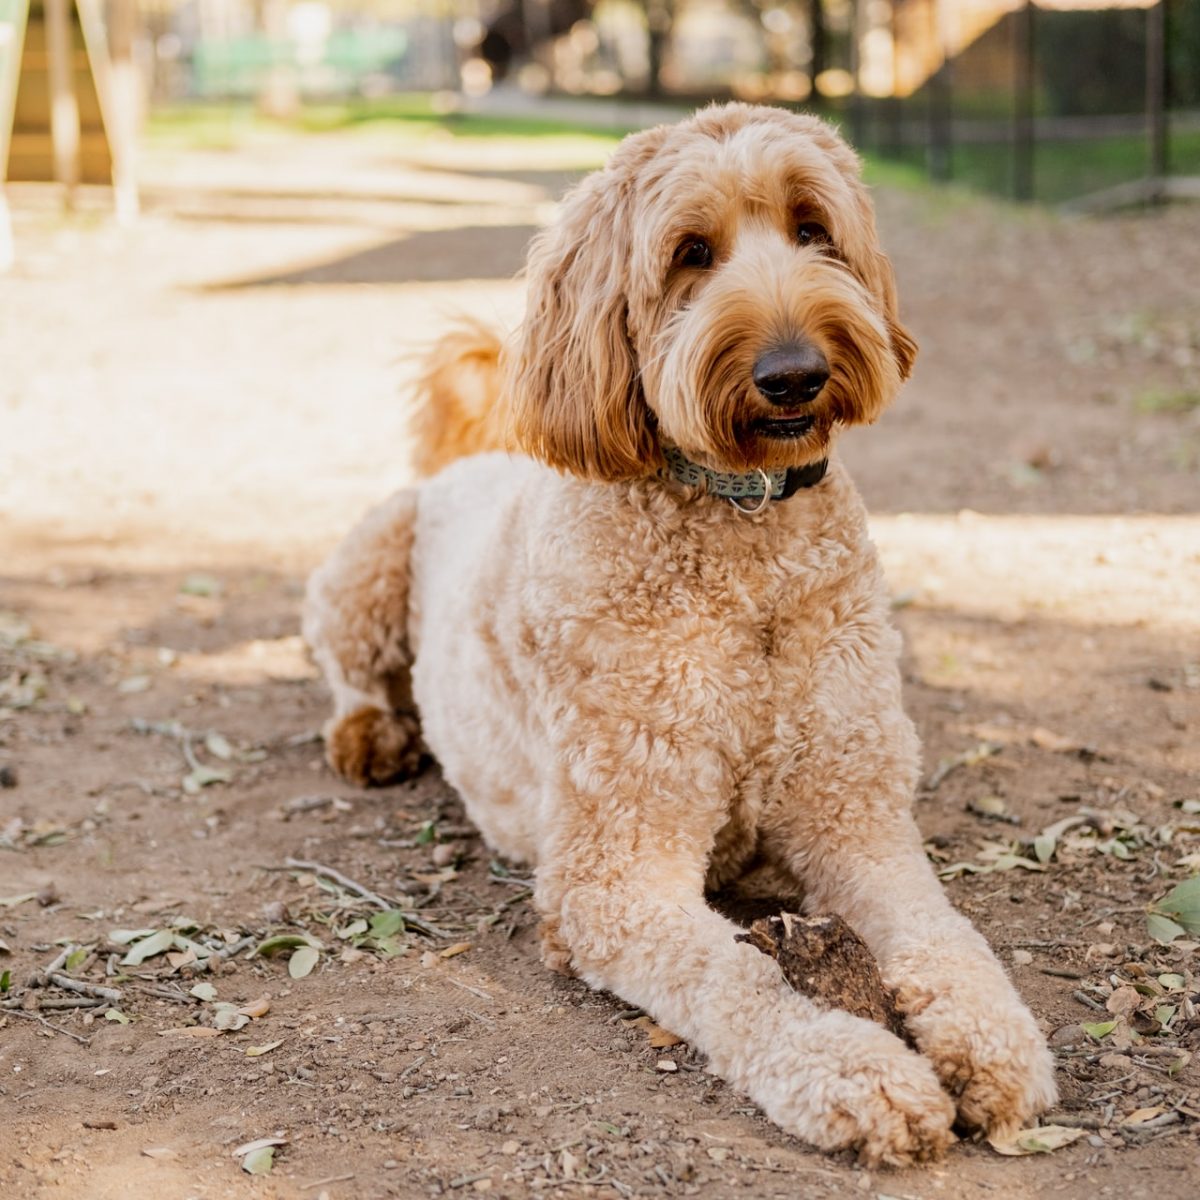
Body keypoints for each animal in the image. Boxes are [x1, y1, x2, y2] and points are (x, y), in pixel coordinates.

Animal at [304, 100, 1056, 1161]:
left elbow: (945, 935)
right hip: (368, 560)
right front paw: (857, 1073)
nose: (794, 373)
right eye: (690, 252)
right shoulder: (619, 874)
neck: (743, 537)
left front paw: (996, 1043)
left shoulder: (858, 822)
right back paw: (371, 733)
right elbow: (740, 975)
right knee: (344, 665)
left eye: (814, 228)